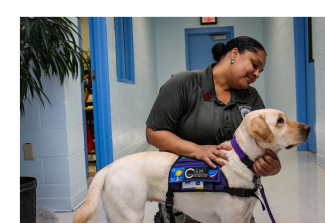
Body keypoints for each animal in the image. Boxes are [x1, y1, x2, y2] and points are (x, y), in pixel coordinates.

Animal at [73, 108, 308, 223]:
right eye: (280, 121)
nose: (308, 128)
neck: (243, 159)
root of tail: (109, 167)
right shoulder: (231, 219)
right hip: (129, 215)